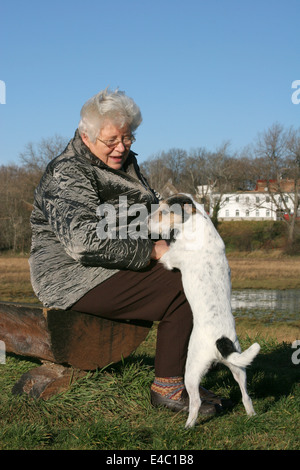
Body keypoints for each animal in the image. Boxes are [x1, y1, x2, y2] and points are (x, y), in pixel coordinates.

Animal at [149, 193, 260, 428]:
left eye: (164, 212)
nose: (144, 223)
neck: (196, 220)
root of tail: (221, 342)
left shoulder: (169, 258)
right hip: (239, 367)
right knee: (246, 395)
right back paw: (251, 415)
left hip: (192, 370)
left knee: (196, 402)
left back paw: (188, 426)